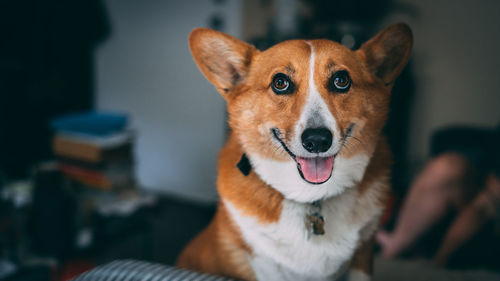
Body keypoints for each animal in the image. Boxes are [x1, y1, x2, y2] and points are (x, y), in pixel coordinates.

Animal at [178, 23, 412, 278]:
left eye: (341, 80)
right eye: (280, 83)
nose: (318, 140)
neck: (310, 196)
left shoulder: (363, 257)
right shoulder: (263, 264)